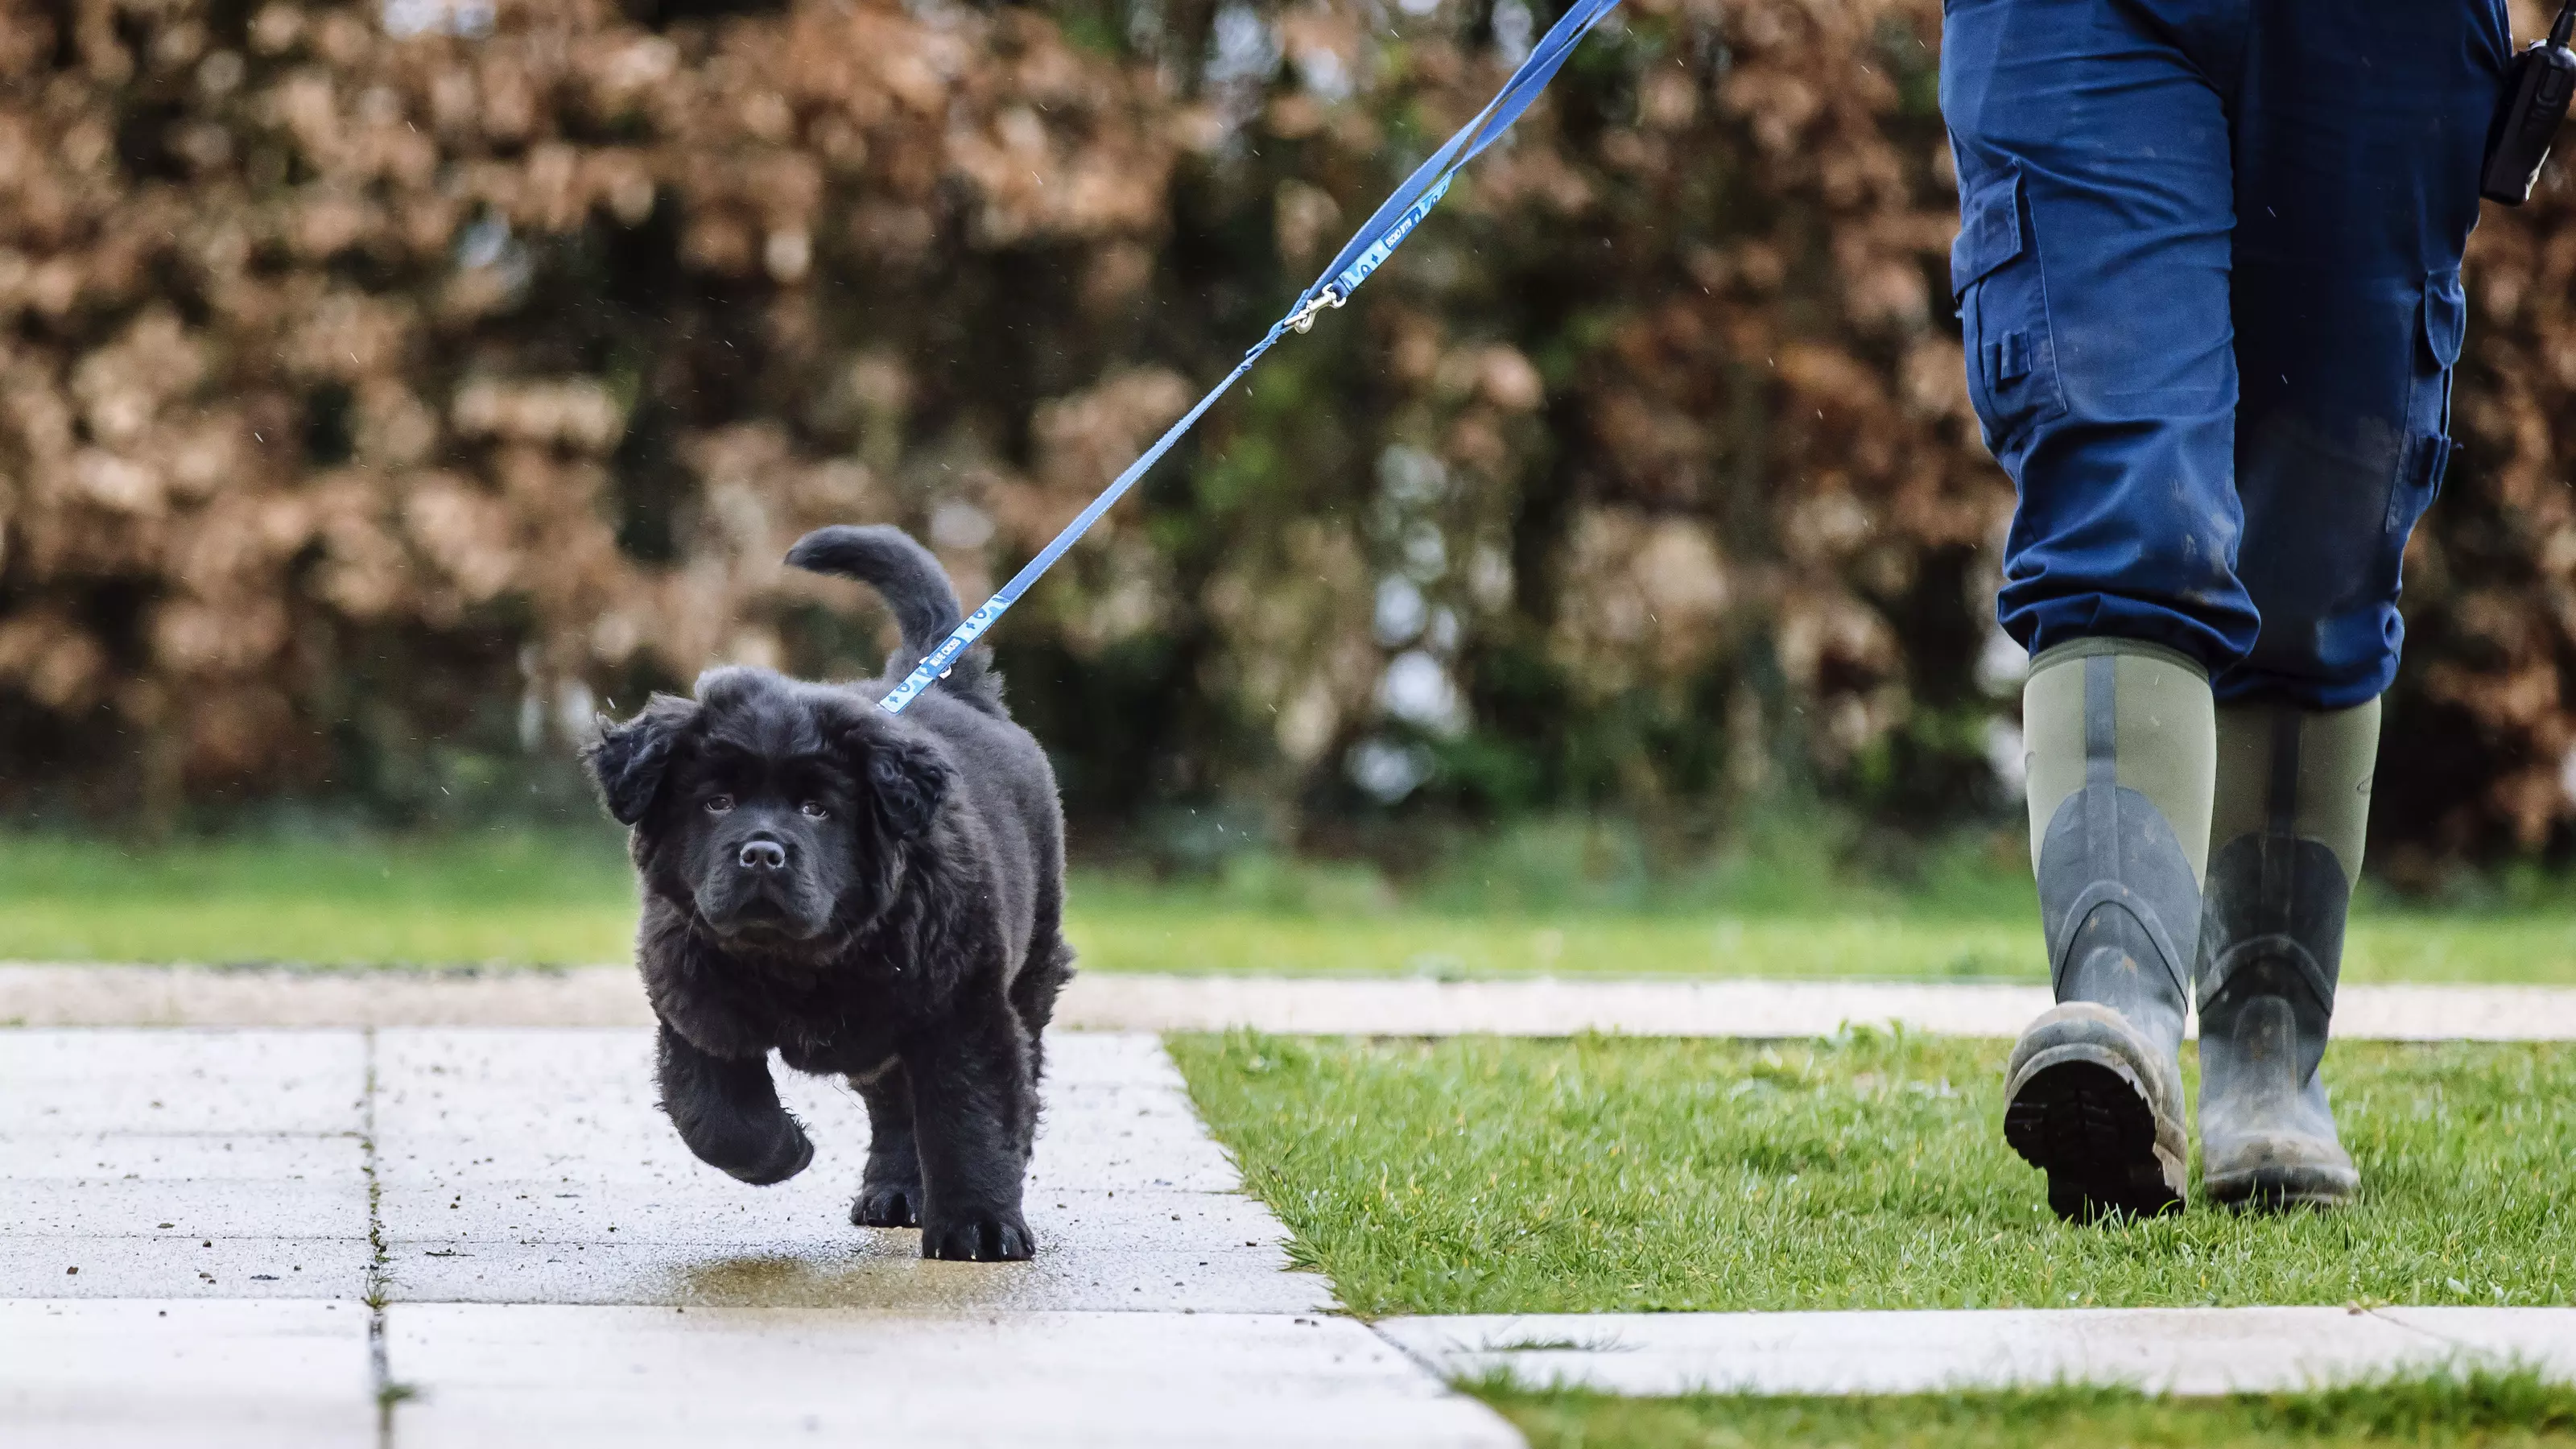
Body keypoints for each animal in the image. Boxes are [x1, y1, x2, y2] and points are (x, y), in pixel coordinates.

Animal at [584, 523, 1066, 1257]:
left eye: (817, 809)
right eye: (717, 802)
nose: (762, 853)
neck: (796, 961)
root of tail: (951, 687)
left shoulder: (963, 1007)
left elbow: (971, 1119)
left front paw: (980, 1228)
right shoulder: (691, 998)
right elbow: (715, 1114)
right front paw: (785, 1151)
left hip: (1030, 967)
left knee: (1006, 1078)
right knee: (895, 1108)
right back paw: (896, 1193)